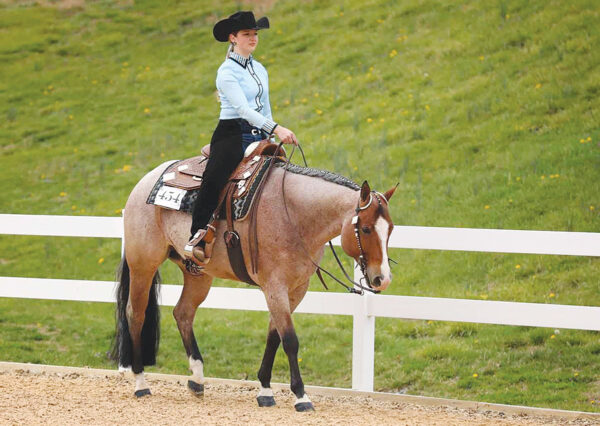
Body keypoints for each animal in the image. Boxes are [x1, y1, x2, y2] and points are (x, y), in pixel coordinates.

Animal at [110, 157, 396, 412]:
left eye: (390, 229)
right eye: (367, 229)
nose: (382, 279)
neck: (294, 215)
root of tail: (145, 181)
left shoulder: (296, 289)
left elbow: (274, 336)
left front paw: (265, 391)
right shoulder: (274, 287)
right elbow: (289, 340)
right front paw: (301, 396)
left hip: (197, 274)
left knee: (183, 313)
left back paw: (197, 379)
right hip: (143, 265)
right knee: (135, 315)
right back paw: (140, 382)